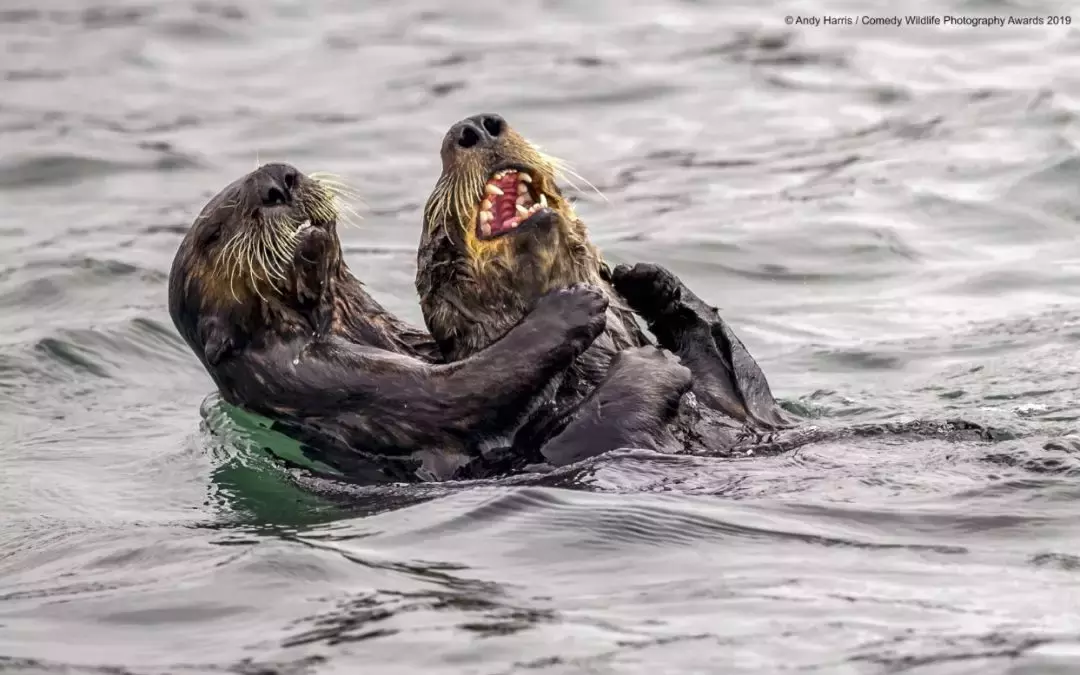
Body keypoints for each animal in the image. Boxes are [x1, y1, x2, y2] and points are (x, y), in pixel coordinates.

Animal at [168, 160, 691, 481]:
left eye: (286, 170)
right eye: (215, 232)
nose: (280, 179)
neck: (341, 321)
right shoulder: (322, 376)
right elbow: (459, 388)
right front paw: (572, 307)